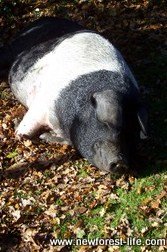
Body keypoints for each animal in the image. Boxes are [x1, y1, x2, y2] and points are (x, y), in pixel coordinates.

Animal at [6, 17, 147, 173]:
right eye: (108, 122)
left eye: (132, 132)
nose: (120, 163)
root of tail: (41, 20)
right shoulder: (43, 101)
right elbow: (26, 129)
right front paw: (17, 126)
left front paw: (44, 136)